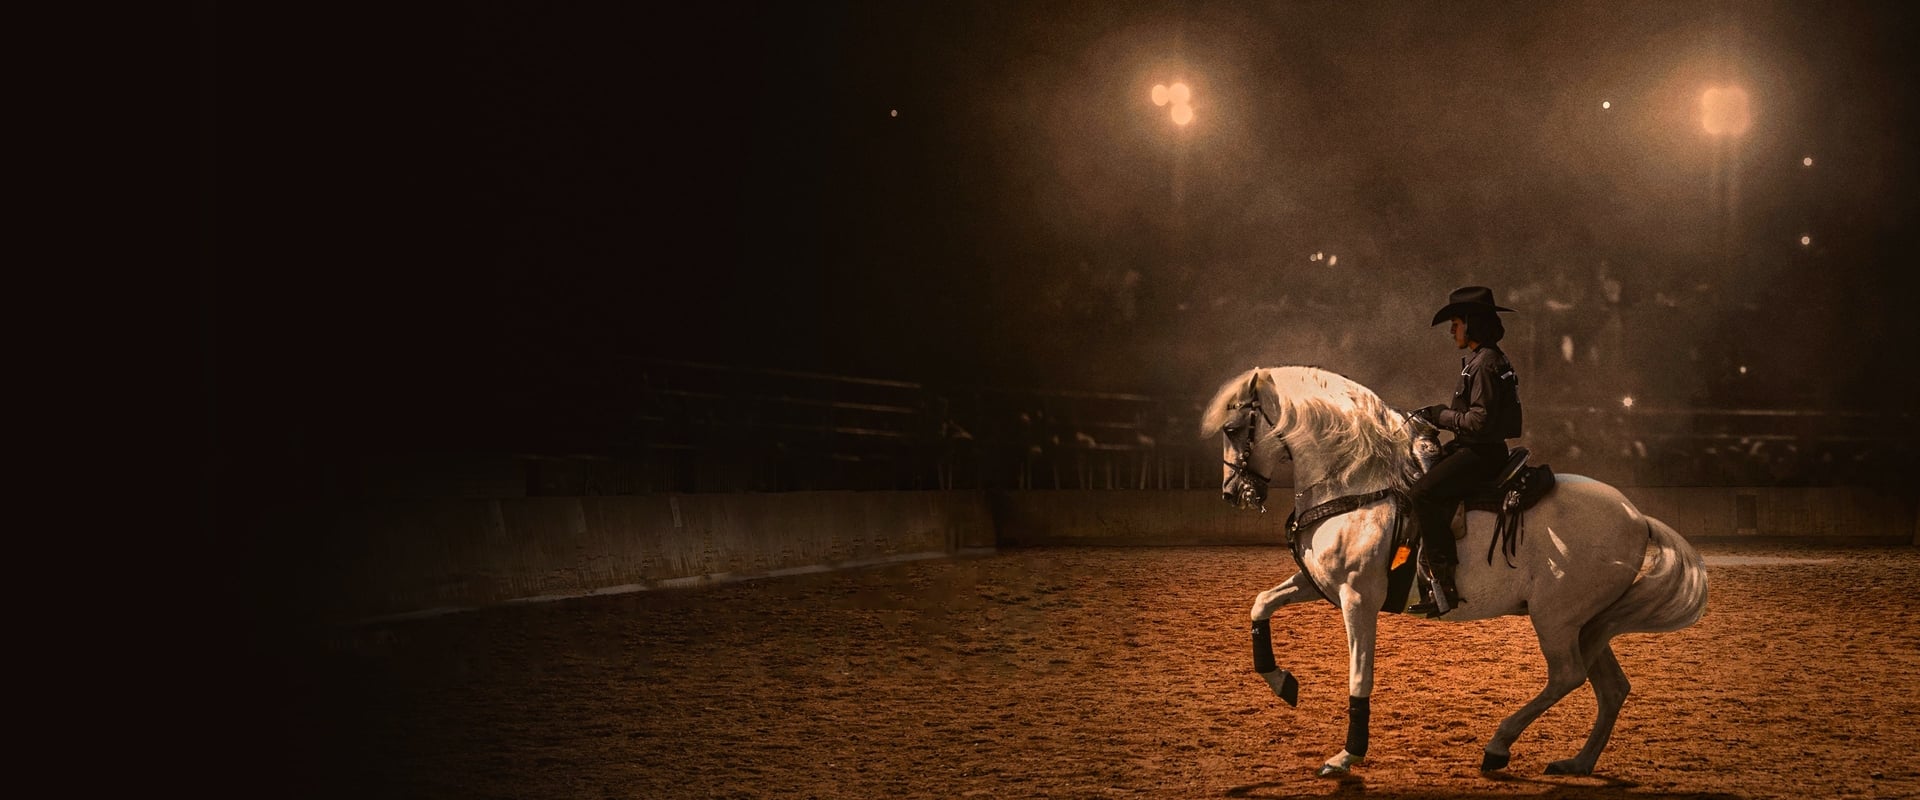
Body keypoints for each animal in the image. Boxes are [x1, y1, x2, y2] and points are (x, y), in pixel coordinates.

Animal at [1198, 366, 1712, 775]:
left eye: (1234, 428)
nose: (1231, 492)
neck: (1355, 483)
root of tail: (1637, 517)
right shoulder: (1319, 583)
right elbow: (1261, 604)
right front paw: (1281, 681)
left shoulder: (1358, 597)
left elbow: (1360, 675)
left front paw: (1349, 755)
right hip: (1589, 624)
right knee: (1611, 688)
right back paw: (1578, 763)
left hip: (1558, 619)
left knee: (1569, 676)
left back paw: (1499, 746)